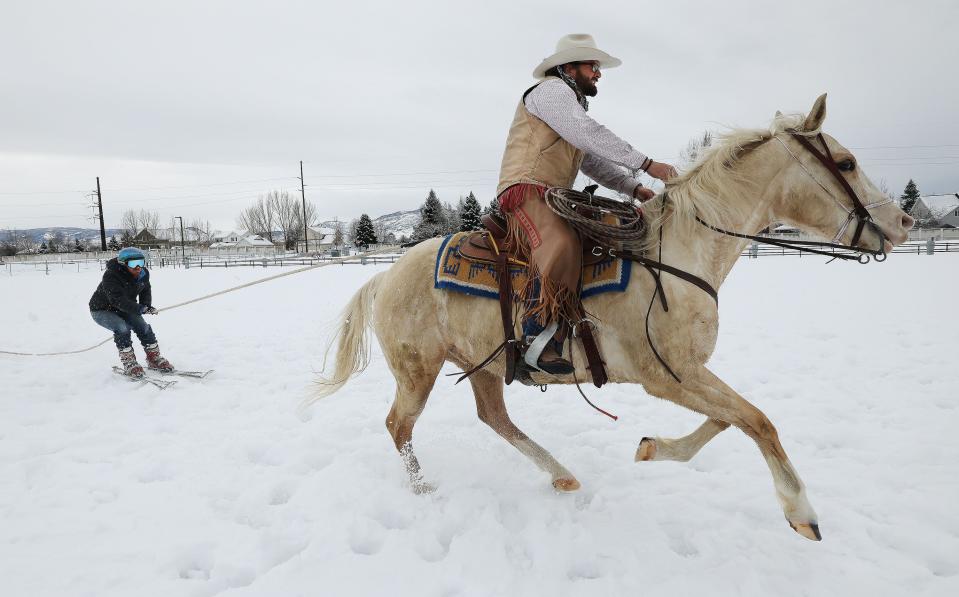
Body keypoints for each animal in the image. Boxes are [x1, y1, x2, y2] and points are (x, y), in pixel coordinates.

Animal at [310, 93, 916, 540]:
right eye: (846, 162)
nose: (904, 222)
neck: (677, 253)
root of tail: (384, 276)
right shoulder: (668, 376)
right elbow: (758, 420)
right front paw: (801, 513)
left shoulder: (687, 373)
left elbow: (734, 418)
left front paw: (652, 448)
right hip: (419, 369)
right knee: (399, 425)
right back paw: (421, 492)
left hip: (482, 364)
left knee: (493, 418)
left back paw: (561, 476)